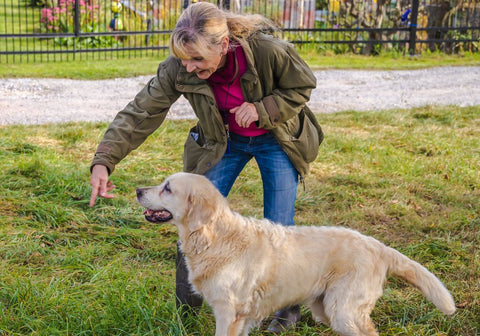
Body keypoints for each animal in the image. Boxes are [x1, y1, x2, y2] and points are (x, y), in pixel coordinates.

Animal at [136, 172, 454, 334]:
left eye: (167, 189)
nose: (138, 190)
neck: (214, 237)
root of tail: (378, 246)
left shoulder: (229, 313)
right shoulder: (241, 317)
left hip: (344, 311)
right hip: (327, 309)